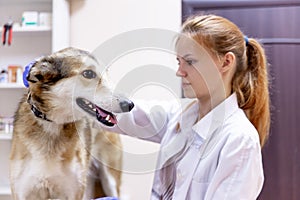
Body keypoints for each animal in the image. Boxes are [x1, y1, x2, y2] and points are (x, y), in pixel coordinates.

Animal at [9, 47, 134, 200]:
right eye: (88, 73)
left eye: (107, 75)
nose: (129, 104)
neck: (53, 124)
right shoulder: (23, 192)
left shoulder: (73, 192)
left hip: (109, 180)